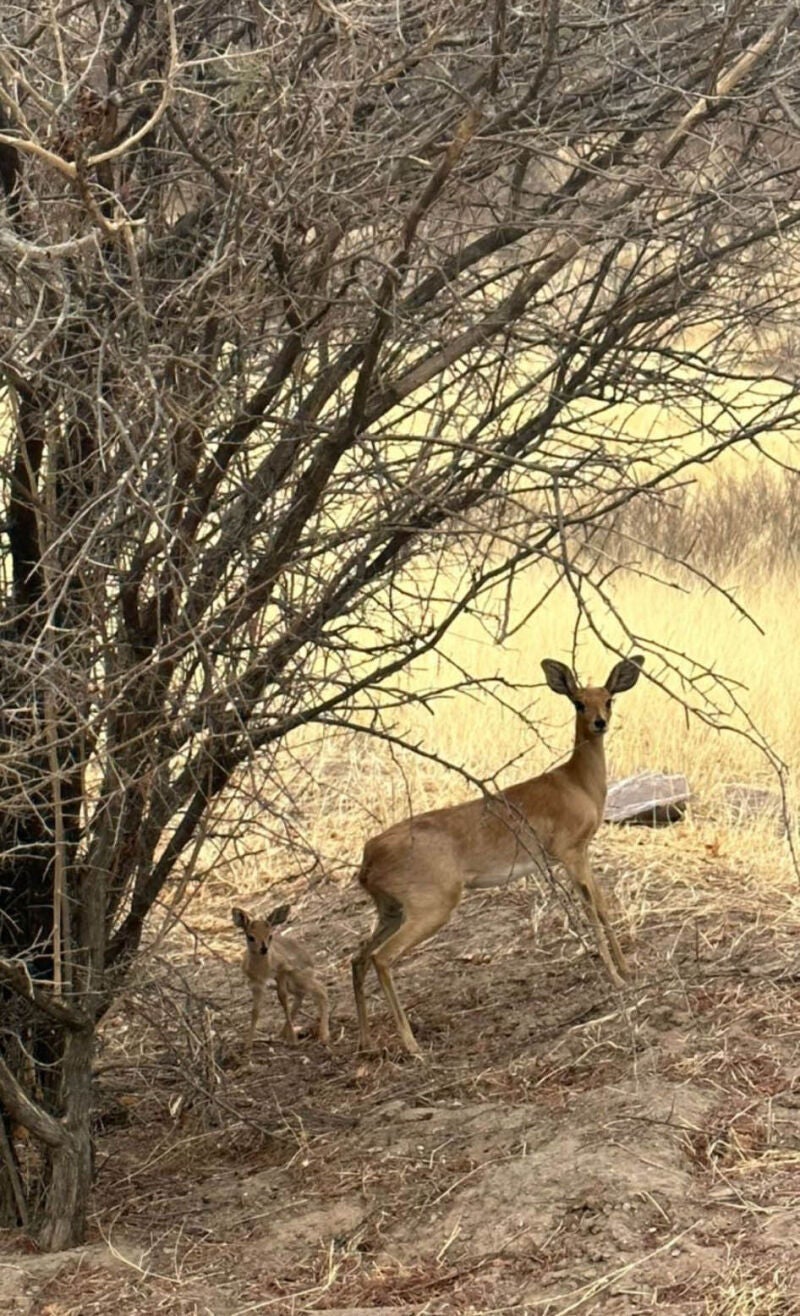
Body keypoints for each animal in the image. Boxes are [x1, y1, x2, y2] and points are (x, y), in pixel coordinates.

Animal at [350, 652, 644, 1052]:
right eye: (578, 702)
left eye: (609, 699)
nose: (600, 722)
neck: (577, 783)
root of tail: (369, 857)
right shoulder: (571, 853)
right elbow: (592, 909)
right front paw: (618, 977)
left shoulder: (580, 854)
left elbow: (601, 905)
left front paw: (627, 969)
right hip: (431, 909)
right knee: (381, 958)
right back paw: (413, 1047)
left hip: (390, 910)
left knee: (358, 957)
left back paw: (366, 1042)